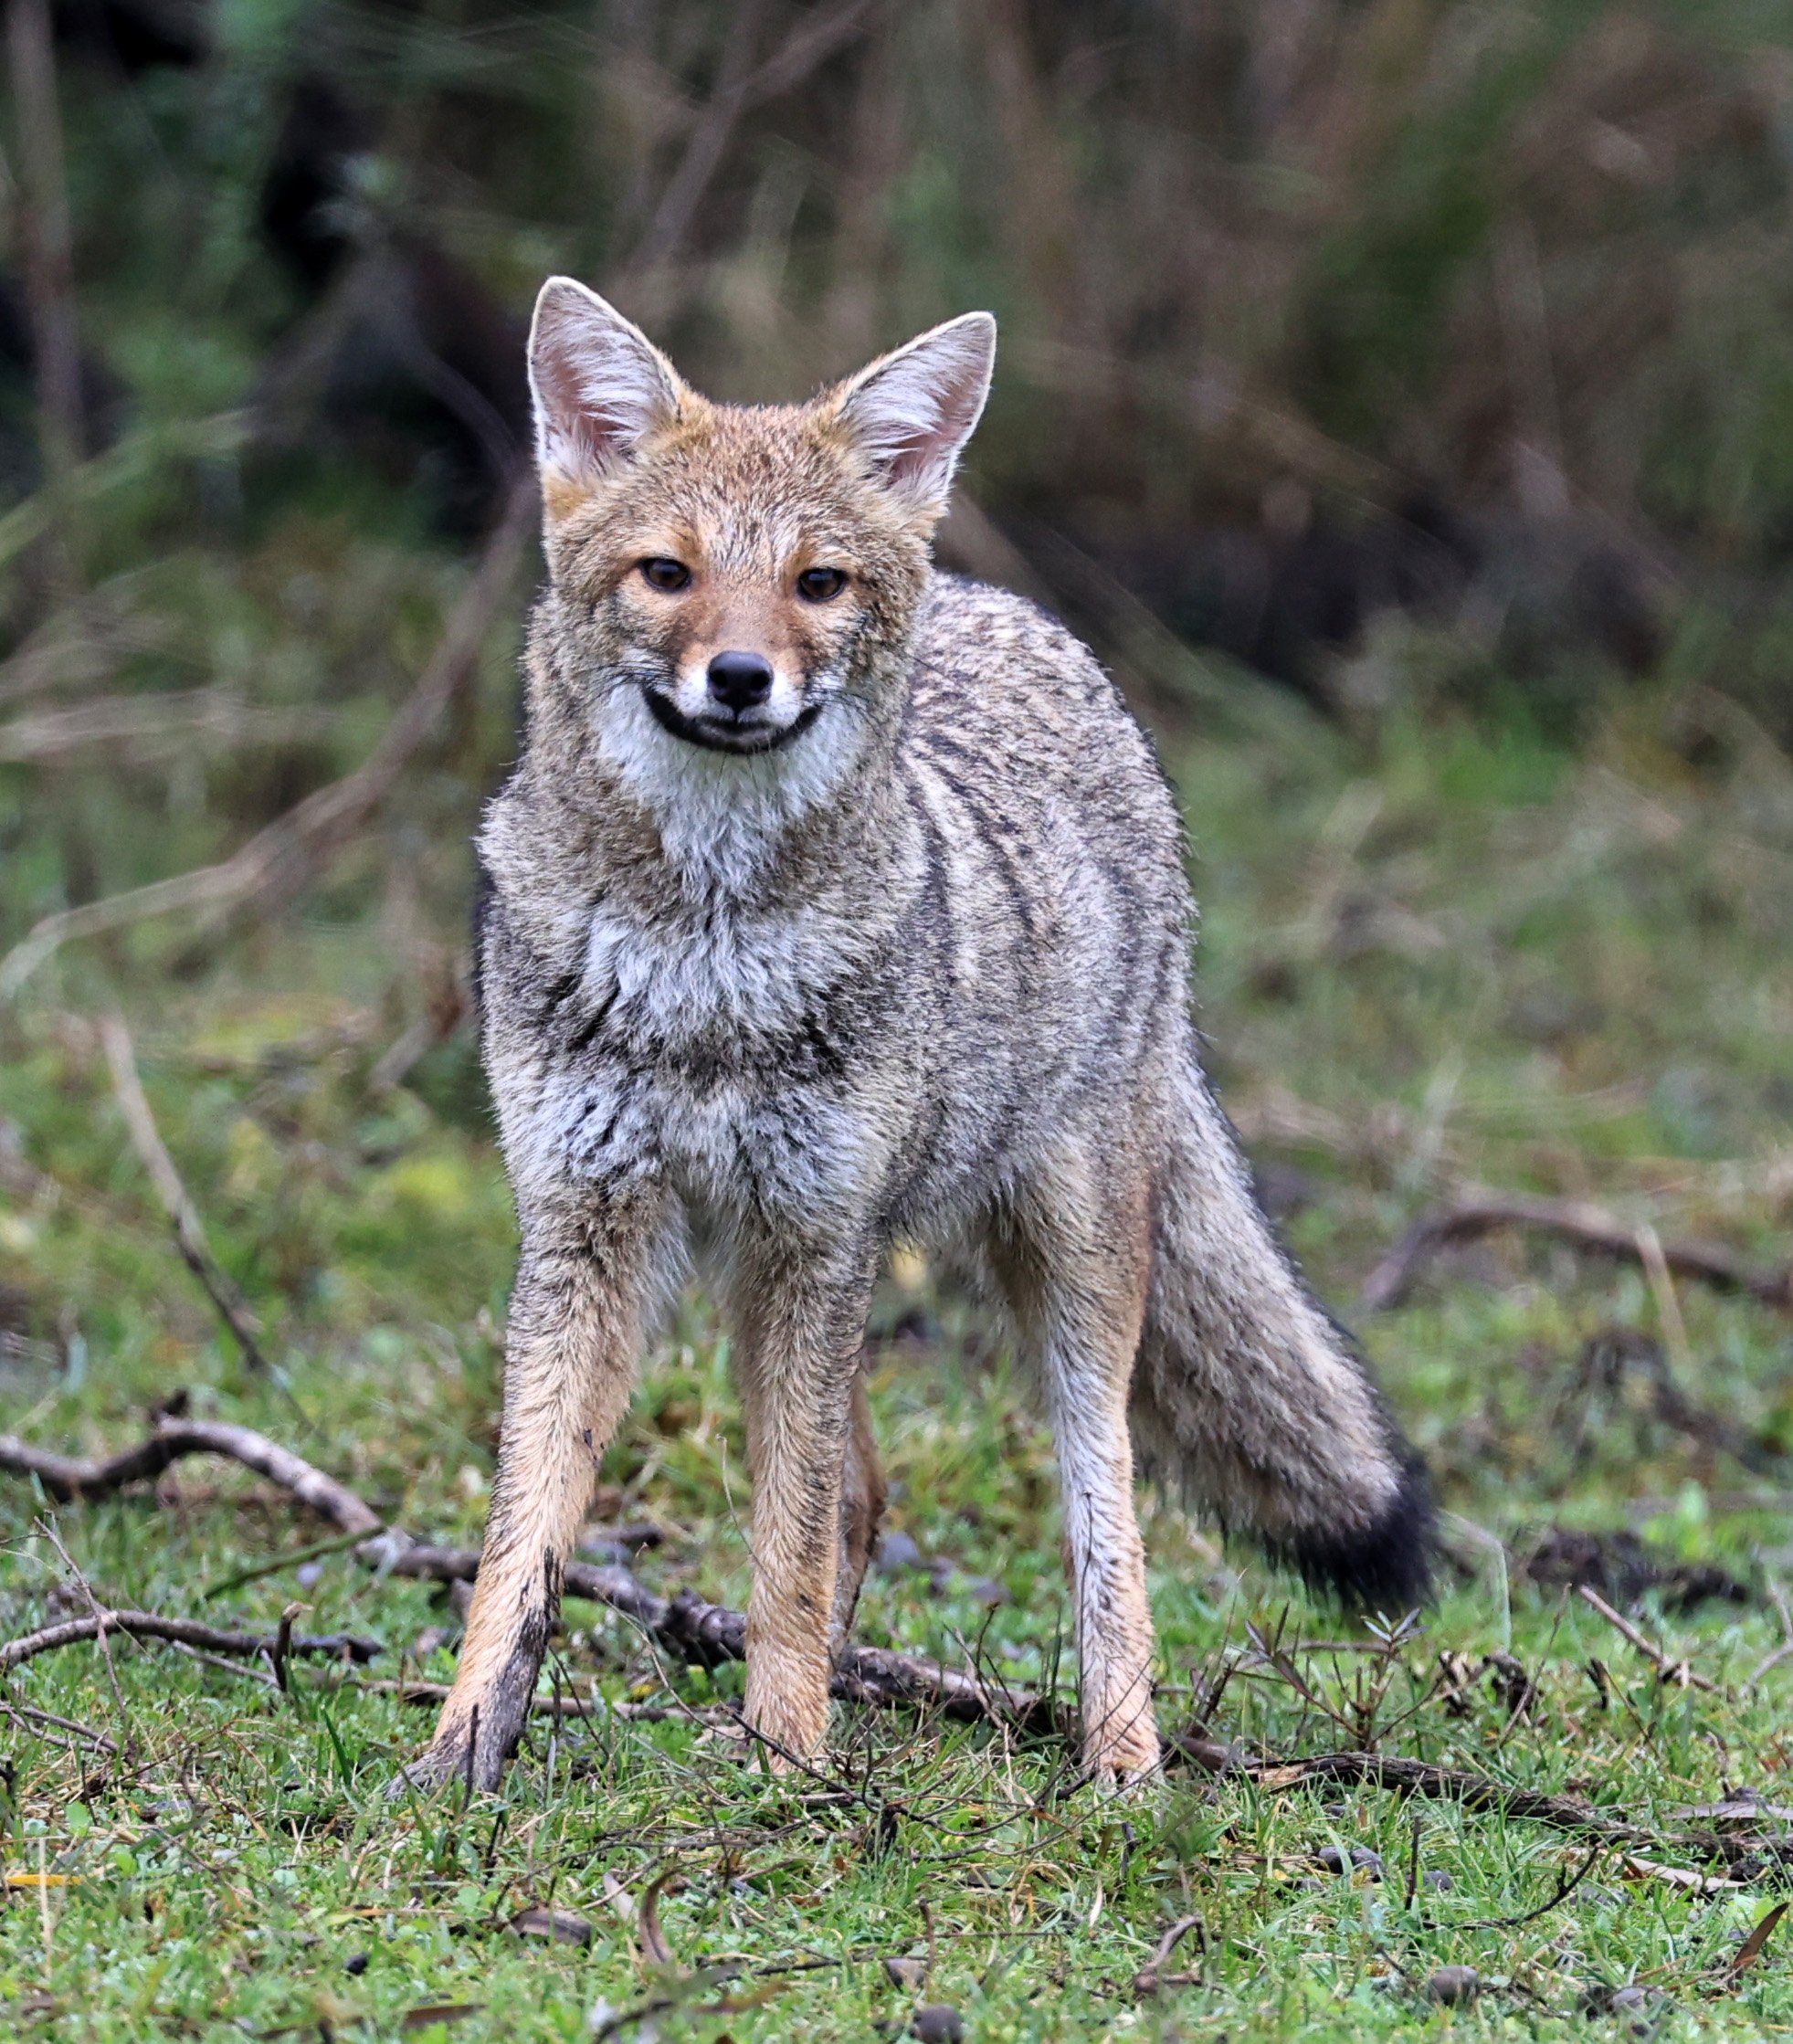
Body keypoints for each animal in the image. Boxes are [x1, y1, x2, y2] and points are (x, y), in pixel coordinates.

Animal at [406, 276, 1432, 1795]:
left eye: (815, 584)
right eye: (668, 573)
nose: (739, 677)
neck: (705, 964)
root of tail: (1015, 614)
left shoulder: (817, 1235)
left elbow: (781, 1546)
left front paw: (785, 1758)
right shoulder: (585, 1225)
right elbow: (522, 1533)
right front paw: (464, 1747)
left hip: (1051, 1275)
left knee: (1100, 1524)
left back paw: (1120, 1766)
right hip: (764, 1274)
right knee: (865, 1492)